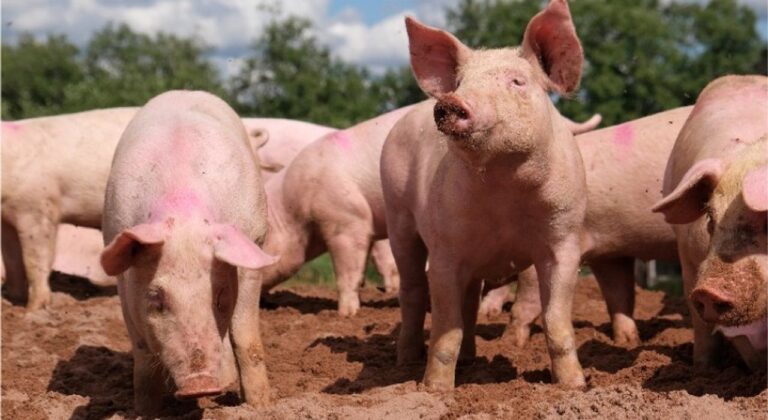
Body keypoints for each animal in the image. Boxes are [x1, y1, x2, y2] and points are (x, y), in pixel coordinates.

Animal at [100, 90, 277, 414]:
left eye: (219, 297)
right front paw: (145, 414)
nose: (200, 384)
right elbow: (143, 357)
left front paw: (259, 407)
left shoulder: (252, 243)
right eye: (156, 298)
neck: (182, 208)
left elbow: (246, 338)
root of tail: (184, 91)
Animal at [381, 1, 590, 389]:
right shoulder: (445, 250)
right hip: (397, 216)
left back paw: (470, 361)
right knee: (413, 291)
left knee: (469, 304)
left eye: (517, 81)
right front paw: (435, 391)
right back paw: (405, 363)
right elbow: (446, 329)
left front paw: (575, 387)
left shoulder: (565, 240)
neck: (505, 190)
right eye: (461, 82)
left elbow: (555, 321)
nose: (451, 101)